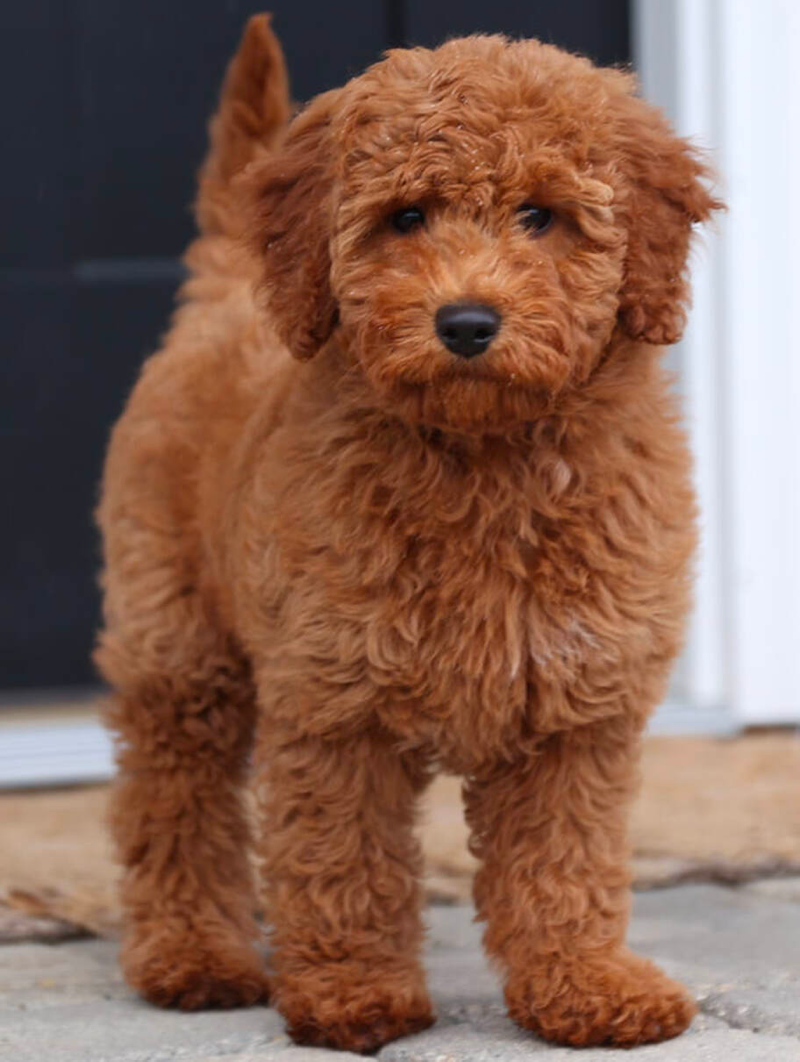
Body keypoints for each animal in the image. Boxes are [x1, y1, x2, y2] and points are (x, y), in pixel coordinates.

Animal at [96, 14, 722, 1053]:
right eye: (406, 217)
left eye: (541, 216)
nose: (466, 322)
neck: (483, 461)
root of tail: (228, 279)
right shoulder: (336, 696)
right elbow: (341, 857)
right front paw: (354, 991)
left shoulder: (577, 704)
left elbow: (568, 859)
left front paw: (584, 984)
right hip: (176, 632)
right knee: (173, 793)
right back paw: (194, 956)